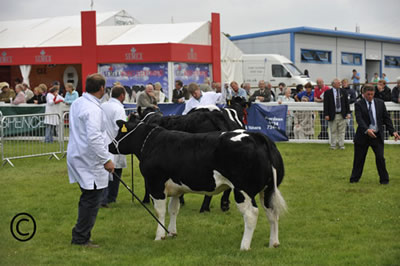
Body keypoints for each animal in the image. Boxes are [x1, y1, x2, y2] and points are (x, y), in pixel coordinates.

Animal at [108, 118, 286, 249]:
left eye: (118, 132)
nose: (110, 146)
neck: (151, 143)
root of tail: (256, 136)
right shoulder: (176, 189)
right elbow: (174, 209)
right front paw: (172, 233)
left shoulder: (156, 184)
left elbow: (160, 212)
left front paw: (160, 236)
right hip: (267, 190)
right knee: (272, 213)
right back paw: (274, 243)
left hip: (243, 190)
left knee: (251, 214)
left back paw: (244, 246)